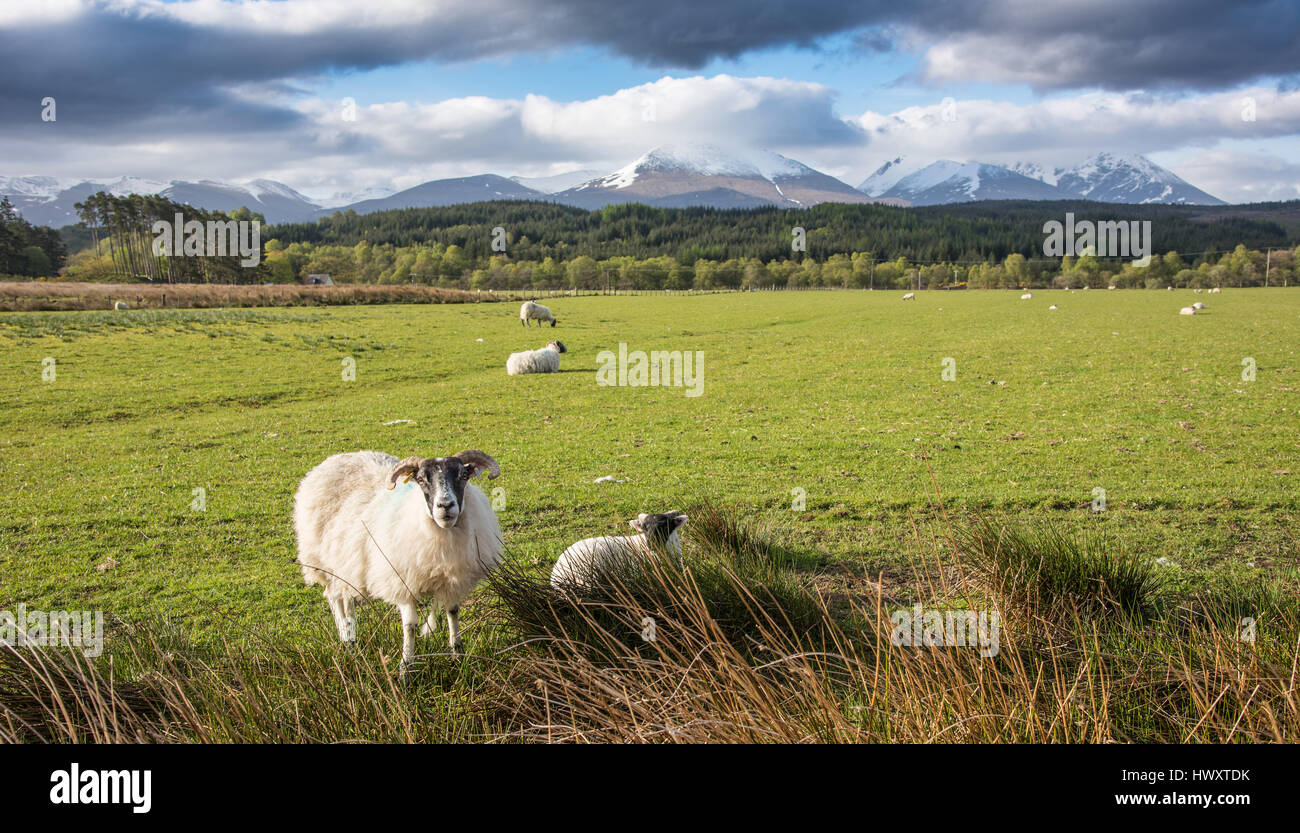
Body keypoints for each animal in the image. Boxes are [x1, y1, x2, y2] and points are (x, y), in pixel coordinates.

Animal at [295, 447, 501, 675]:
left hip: (346, 563)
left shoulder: (452, 581)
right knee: (333, 597)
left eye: (463, 475)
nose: (445, 505)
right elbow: (410, 626)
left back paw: (349, 635)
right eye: (420, 480)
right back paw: (347, 638)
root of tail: (339, 457)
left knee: (346, 598)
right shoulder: (402, 581)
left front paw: (458, 654)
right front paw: (405, 669)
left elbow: (452, 612)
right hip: (325, 562)